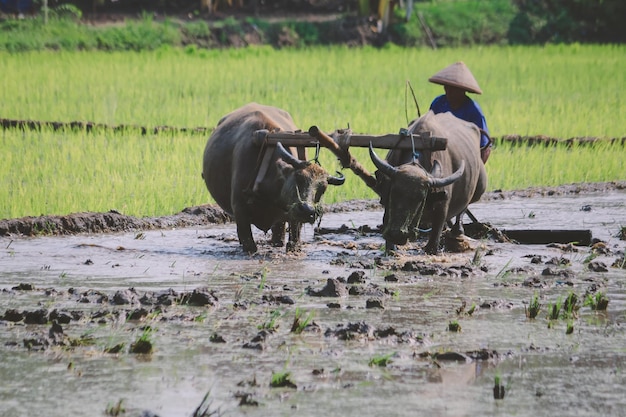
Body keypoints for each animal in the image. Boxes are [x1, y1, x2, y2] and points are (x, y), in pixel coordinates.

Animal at [202, 102, 344, 252]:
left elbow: (293, 239)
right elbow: (249, 243)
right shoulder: (239, 210)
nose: (308, 210)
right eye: (298, 178)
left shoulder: (291, 214)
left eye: (322, 189)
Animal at [368, 110, 486, 254]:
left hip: (479, 189)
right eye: (393, 193)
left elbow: (435, 234)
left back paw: (457, 232)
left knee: (463, 208)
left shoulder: (442, 208)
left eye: (420, 198)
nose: (397, 234)